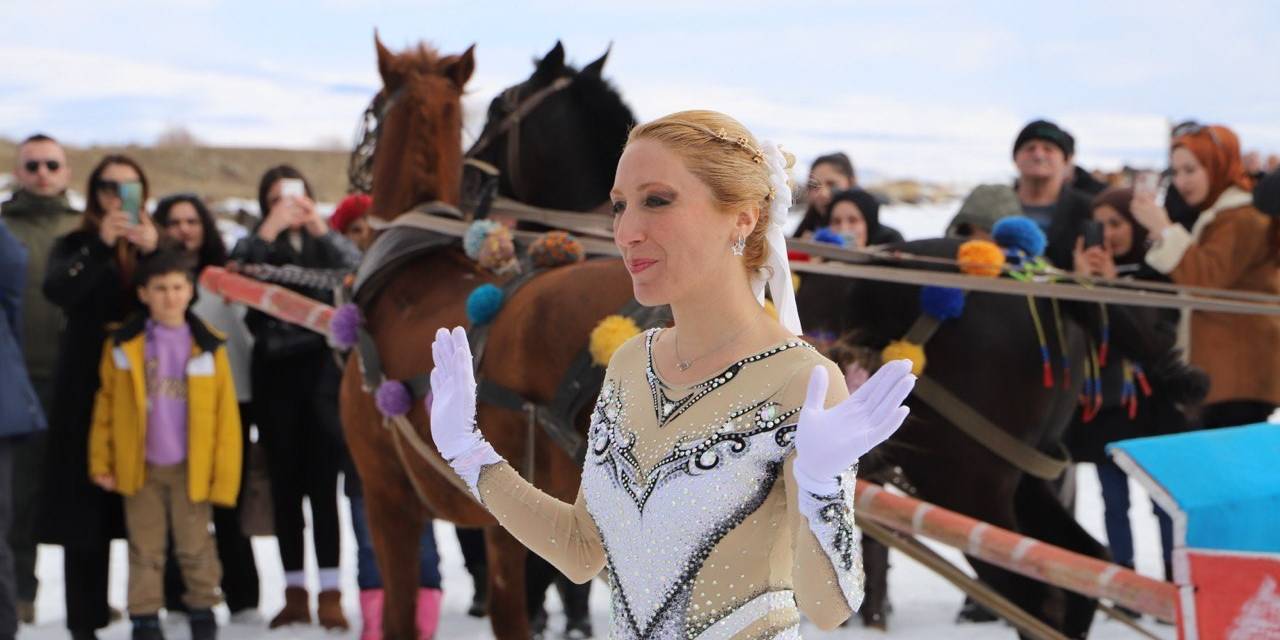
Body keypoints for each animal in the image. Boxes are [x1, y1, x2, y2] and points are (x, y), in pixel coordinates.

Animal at [340, 37, 640, 637]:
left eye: (500, 106)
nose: (474, 180)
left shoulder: (386, 498)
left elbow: (403, 615)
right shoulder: (508, 519)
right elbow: (511, 612)